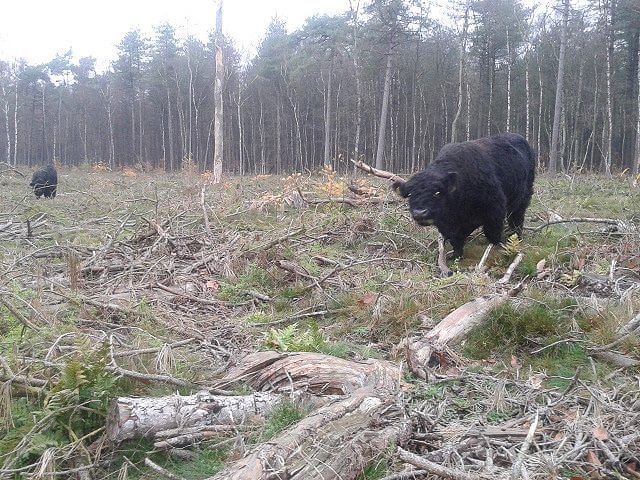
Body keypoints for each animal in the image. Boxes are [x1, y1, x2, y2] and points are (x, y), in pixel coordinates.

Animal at [396, 131, 536, 258]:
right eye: (410, 194)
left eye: (437, 193)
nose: (420, 212)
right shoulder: (447, 223)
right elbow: (455, 238)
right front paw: (456, 255)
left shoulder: (494, 209)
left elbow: (492, 233)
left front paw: (496, 248)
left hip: (523, 196)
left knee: (517, 217)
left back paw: (516, 236)